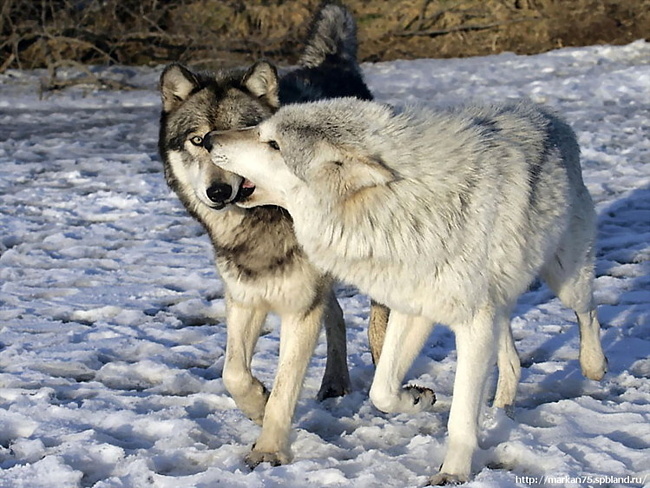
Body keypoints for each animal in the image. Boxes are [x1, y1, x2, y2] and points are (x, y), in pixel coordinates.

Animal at [156, 2, 384, 468]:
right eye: (199, 140)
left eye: (238, 141)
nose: (219, 192)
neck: (261, 220)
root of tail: (331, 63)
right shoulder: (245, 297)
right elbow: (233, 373)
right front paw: (257, 405)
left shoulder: (298, 307)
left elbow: (284, 389)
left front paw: (269, 450)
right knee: (335, 314)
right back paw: (335, 382)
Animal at [206, 97, 608, 482]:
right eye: (261, 129)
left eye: (273, 144)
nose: (209, 139)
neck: (400, 207)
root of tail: (548, 114)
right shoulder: (413, 308)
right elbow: (381, 390)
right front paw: (418, 399)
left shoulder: (472, 323)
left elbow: (461, 415)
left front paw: (453, 473)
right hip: (499, 304)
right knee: (511, 359)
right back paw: (500, 413)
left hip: (564, 276)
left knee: (587, 313)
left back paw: (594, 366)